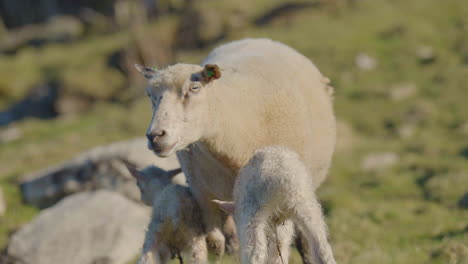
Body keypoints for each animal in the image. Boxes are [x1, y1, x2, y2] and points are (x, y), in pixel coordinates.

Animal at [135, 37, 336, 262]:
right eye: (150, 95)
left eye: (194, 88)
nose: (155, 136)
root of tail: (255, 39)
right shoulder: (201, 191)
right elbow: (218, 238)